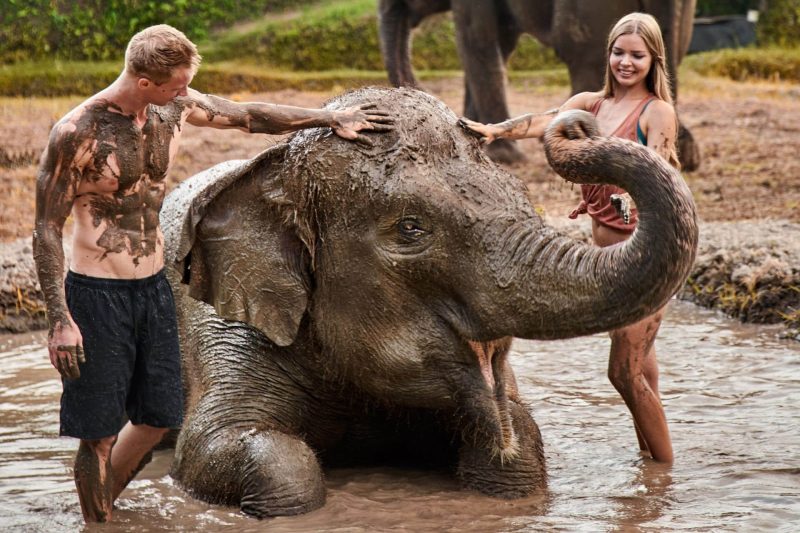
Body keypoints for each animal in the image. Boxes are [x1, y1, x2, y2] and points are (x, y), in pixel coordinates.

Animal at [159, 86, 696, 516]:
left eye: (520, 194)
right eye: (411, 228)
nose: (576, 123)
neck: (270, 169)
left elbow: (520, 440)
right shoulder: (222, 326)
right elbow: (215, 447)